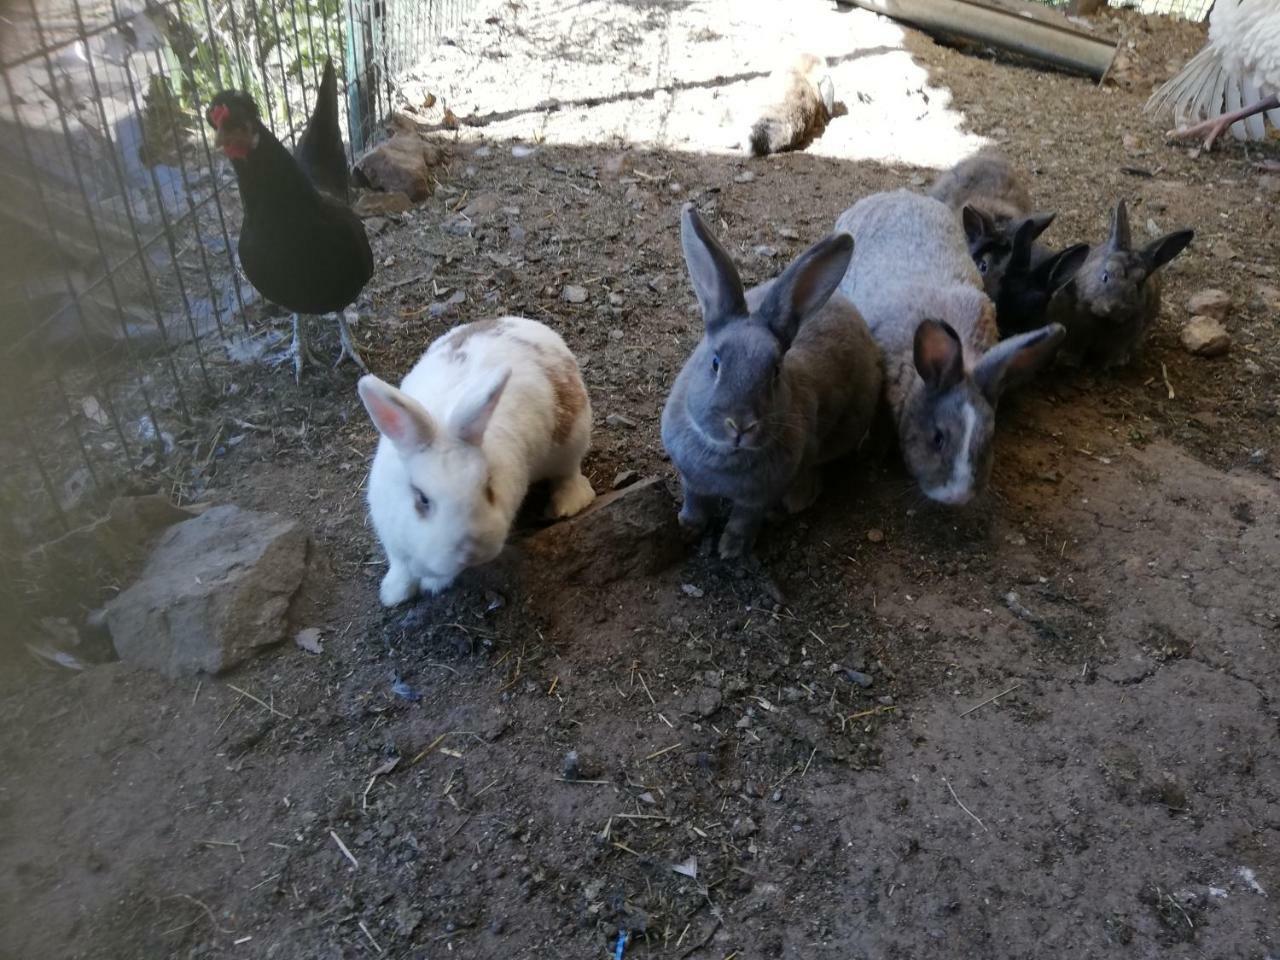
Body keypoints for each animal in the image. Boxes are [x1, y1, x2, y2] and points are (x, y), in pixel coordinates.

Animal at [360, 323, 593, 609]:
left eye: (488, 488)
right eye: (422, 499)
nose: (471, 552)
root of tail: (527, 324)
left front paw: (433, 584)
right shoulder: (390, 532)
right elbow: (400, 565)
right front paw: (394, 594)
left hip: (572, 439)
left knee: (568, 474)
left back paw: (567, 504)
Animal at [660, 204, 880, 563]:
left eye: (775, 371)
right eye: (715, 363)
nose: (740, 426)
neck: (726, 456)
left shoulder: (758, 499)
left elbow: (743, 521)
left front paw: (730, 551)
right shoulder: (692, 482)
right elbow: (695, 505)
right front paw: (686, 529)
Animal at [1049, 199, 1198, 368]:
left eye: (1139, 284)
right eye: (1105, 276)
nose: (1113, 307)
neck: (1104, 320)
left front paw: (1111, 364)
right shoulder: (1077, 330)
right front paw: (1068, 361)